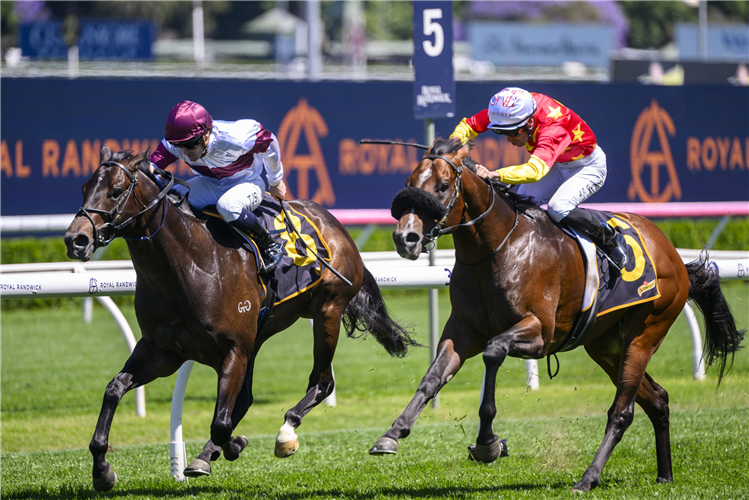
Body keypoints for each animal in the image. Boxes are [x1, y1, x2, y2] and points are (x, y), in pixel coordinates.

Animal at [64, 146, 414, 490]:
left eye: (116, 191)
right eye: (84, 188)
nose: (75, 240)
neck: (193, 265)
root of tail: (332, 222)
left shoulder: (233, 350)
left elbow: (221, 423)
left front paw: (234, 444)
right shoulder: (162, 352)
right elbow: (114, 388)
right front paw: (102, 469)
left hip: (327, 310)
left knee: (322, 382)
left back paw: (285, 431)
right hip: (259, 334)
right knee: (245, 398)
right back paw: (206, 454)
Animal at [368, 137, 744, 492]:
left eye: (443, 186)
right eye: (409, 181)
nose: (406, 238)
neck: (496, 248)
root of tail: (673, 255)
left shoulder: (539, 333)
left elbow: (493, 351)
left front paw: (488, 443)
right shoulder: (463, 330)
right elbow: (432, 378)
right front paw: (392, 434)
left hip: (646, 331)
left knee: (622, 411)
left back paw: (588, 478)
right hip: (605, 346)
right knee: (658, 400)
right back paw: (664, 475)